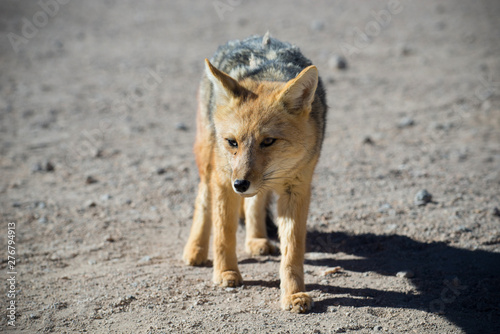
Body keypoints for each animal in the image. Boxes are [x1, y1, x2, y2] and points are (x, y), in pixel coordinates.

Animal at [184, 34, 328, 314]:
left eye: (268, 141)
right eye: (232, 142)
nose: (240, 184)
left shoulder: (297, 189)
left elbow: (293, 250)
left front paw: (293, 294)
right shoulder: (224, 180)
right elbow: (224, 232)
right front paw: (226, 272)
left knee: (255, 202)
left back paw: (256, 239)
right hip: (209, 165)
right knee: (203, 199)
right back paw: (195, 249)